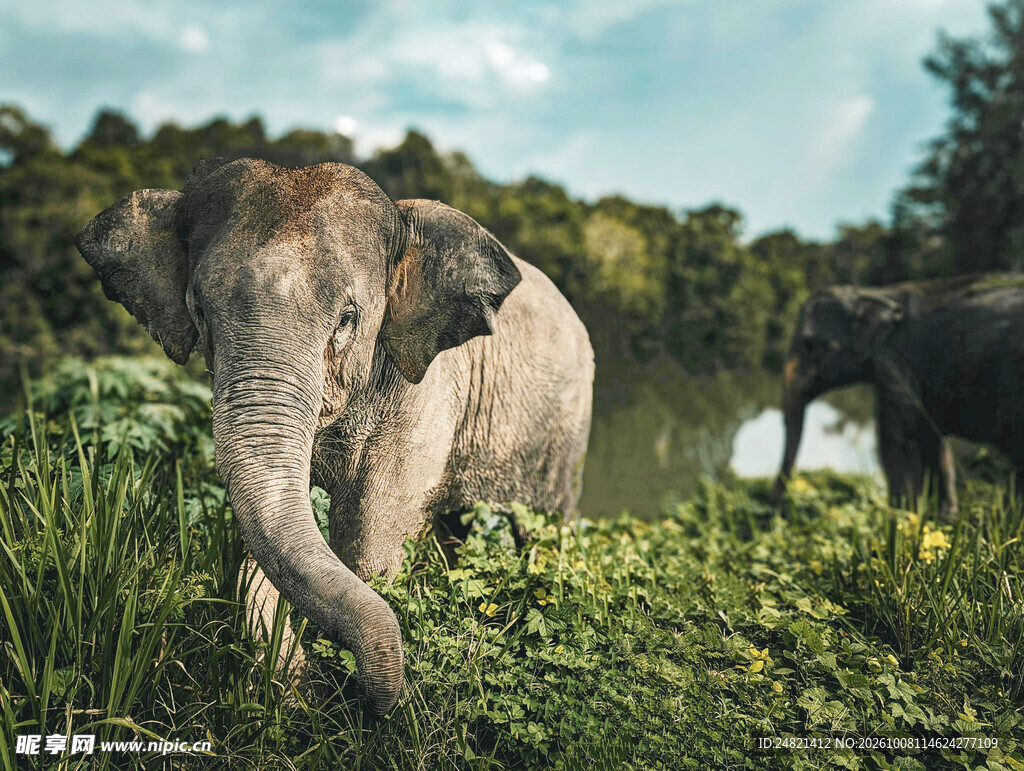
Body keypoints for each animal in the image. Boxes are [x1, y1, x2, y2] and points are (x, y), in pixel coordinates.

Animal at [75, 157, 595, 714]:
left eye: (348, 320)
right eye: (199, 313)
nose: (358, 697)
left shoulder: (426, 394)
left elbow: (370, 550)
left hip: (567, 429)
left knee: (542, 526)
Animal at [773, 275, 1024, 518]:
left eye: (809, 344)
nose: (776, 511)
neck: (877, 294)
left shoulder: (897, 364)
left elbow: (897, 440)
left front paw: (901, 519)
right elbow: (930, 438)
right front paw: (943, 518)